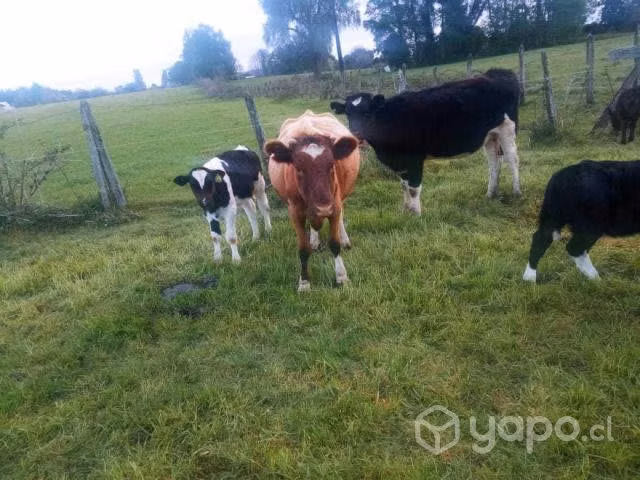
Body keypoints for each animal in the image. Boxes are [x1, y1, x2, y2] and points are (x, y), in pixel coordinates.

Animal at [265, 111, 360, 292]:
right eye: (298, 168)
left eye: (331, 165)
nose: (323, 209)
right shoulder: (295, 212)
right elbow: (303, 249)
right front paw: (304, 282)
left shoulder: (334, 205)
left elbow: (334, 243)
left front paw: (341, 277)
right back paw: (314, 240)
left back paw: (344, 239)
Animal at [330, 68, 521, 215]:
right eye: (348, 114)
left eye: (368, 113)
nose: (356, 134)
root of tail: (496, 72)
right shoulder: (401, 161)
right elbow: (404, 185)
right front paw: (406, 211)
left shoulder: (414, 159)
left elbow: (413, 189)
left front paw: (416, 215)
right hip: (490, 136)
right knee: (494, 162)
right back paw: (491, 193)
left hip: (507, 128)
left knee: (512, 159)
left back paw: (517, 192)